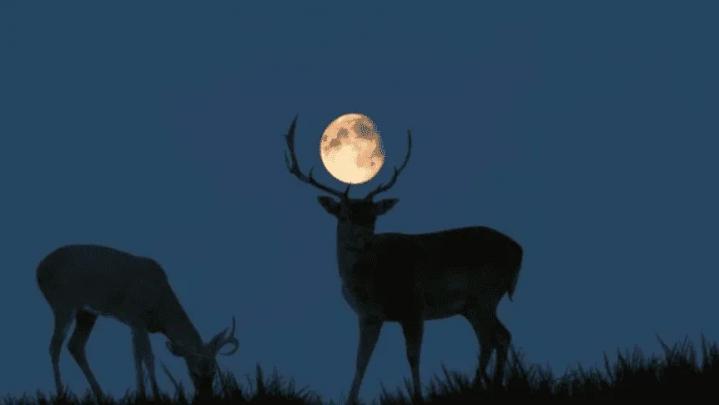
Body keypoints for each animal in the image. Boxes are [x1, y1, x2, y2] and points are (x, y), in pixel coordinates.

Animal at [36, 244, 239, 400]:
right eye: (194, 372)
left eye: (214, 372)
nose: (207, 397)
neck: (160, 305)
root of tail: (39, 269)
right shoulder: (137, 317)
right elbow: (148, 356)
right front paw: (155, 394)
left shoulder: (134, 324)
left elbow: (136, 355)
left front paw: (141, 392)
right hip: (63, 303)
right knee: (55, 346)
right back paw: (60, 393)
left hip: (86, 313)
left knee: (75, 345)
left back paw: (100, 394)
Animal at [284, 116, 523, 403]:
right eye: (344, 215)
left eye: (373, 217)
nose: (365, 240)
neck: (370, 284)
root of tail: (519, 251)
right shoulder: (369, 316)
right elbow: (361, 361)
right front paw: (351, 399)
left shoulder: (413, 307)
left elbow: (413, 357)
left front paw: (418, 396)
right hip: (472, 305)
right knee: (498, 336)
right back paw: (491, 384)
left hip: (485, 294)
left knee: (492, 338)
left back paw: (479, 386)